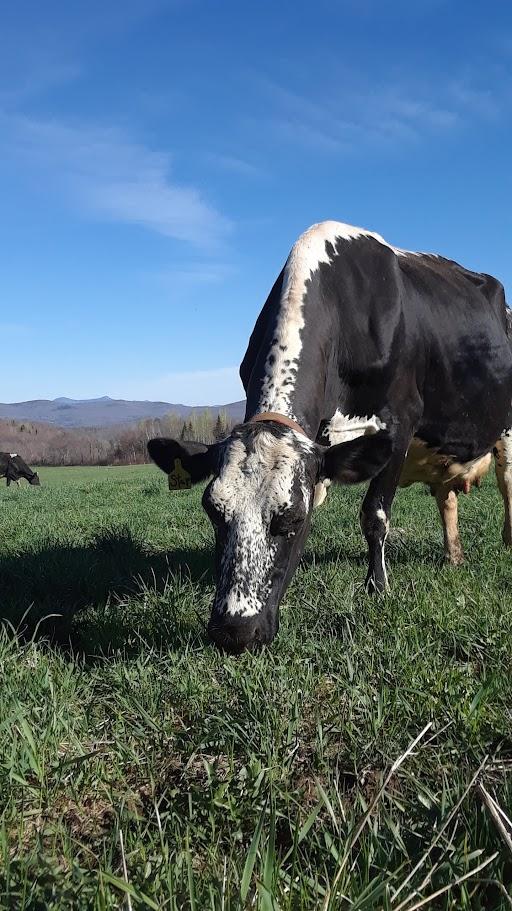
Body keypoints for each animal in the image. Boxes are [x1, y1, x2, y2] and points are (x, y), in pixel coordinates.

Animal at [148, 221, 512, 653]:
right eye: (212, 511)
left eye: (291, 518)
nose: (234, 631)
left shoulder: (401, 423)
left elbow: (375, 514)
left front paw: (377, 587)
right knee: (447, 497)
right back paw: (453, 556)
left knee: (507, 482)